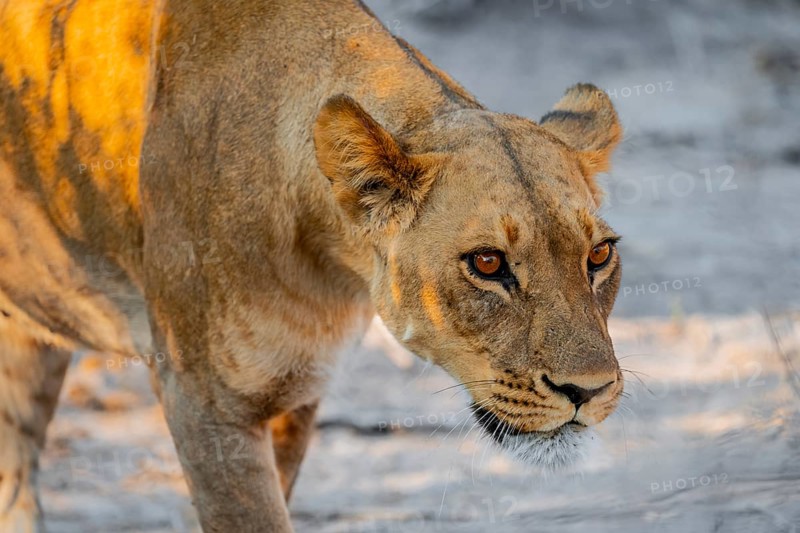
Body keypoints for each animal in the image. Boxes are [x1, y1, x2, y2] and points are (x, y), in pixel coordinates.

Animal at [0, 0, 624, 531]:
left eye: (598, 255)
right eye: (488, 263)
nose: (588, 391)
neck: (332, 265)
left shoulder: (294, 392)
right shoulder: (204, 403)